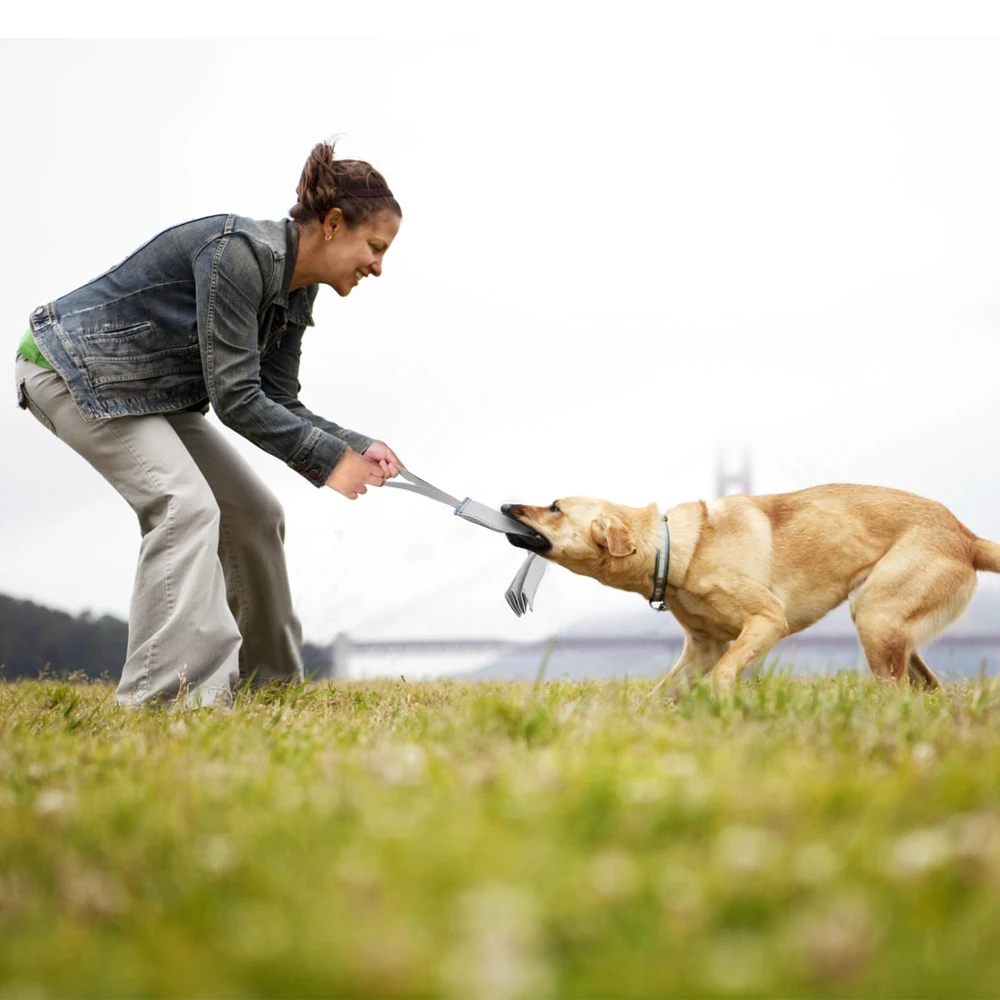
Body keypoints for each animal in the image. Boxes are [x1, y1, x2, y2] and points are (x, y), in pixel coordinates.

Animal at [504, 484, 1000, 696]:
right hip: (886, 624)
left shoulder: (766, 621)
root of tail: (967, 535)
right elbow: (659, 693)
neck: (677, 548)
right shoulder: (700, 649)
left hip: (876, 616)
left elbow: (726, 673)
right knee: (926, 686)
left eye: (554, 507)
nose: (506, 504)